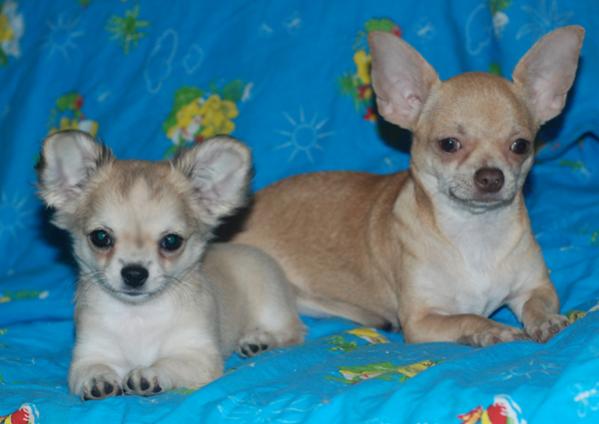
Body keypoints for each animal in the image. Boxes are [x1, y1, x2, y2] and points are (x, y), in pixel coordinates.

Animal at [37, 130, 304, 399]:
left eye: (171, 241)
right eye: (100, 238)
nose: (134, 273)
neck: (138, 316)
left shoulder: (198, 356)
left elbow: (170, 363)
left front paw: (149, 374)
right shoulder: (90, 352)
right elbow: (91, 368)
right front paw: (98, 379)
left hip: (271, 304)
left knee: (294, 332)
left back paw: (259, 340)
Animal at [234, 26, 584, 347]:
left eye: (520, 146)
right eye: (448, 144)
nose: (491, 176)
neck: (475, 234)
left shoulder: (536, 287)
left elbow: (538, 304)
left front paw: (547, 320)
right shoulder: (421, 321)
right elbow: (467, 317)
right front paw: (490, 329)